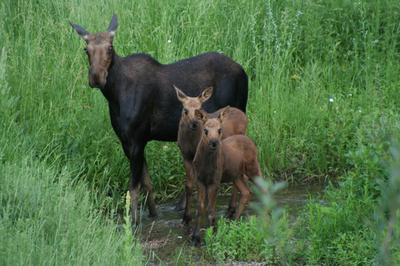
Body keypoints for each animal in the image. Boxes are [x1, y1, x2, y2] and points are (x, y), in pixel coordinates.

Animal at [70, 14, 248, 222]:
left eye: (110, 47)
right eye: (86, 49)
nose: (96, 77)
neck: (114, 95)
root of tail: (244, 73)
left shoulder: (136, 140)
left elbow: (133, 187)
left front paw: (134, 221)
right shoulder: (128, 141)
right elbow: (147, 182)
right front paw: (153, 214)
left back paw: (229, 210)